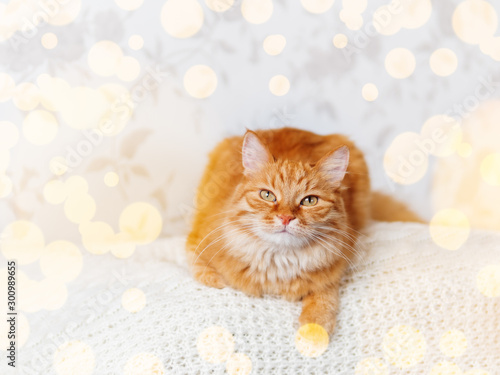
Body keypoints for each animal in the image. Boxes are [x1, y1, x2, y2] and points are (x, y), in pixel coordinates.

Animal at [186, 128, 420, 334]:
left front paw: (314, 330)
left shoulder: (335, 268)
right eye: (267, 195)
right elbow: (203, 270)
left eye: (309, 201)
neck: (278, 266)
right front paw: (216, 280)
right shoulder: (195, 240)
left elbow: (324, 296)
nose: (286, 218)